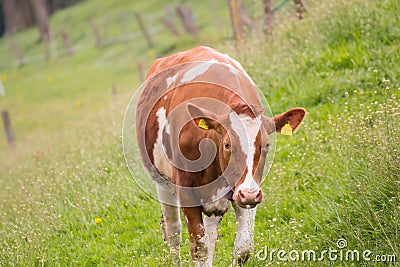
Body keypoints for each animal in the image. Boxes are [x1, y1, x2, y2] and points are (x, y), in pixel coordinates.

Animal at [135, 46, 306, 266]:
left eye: (267, 144)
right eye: (227, 145)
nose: (249, 194)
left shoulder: (246, 190)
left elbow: (242, 248)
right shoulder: (186, 191)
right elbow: (199, 247)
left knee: (209, 234)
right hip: (161, 181)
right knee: (173, 232)